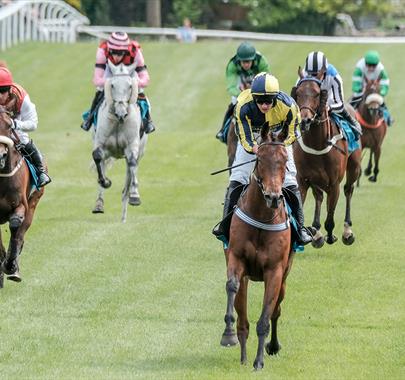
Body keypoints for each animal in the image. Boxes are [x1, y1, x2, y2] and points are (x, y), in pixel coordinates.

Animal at [92, 61, 148, 223]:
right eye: (112, 85)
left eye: (130, 86)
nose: (121, 113)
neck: (118, 122)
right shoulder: (101, 144)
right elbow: (97, 156)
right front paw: (105, 182)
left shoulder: (132, 147)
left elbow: (132, 163)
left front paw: (135, 197)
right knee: (103, 165)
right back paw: (99, 204)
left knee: (129, 176)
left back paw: (124, 214)